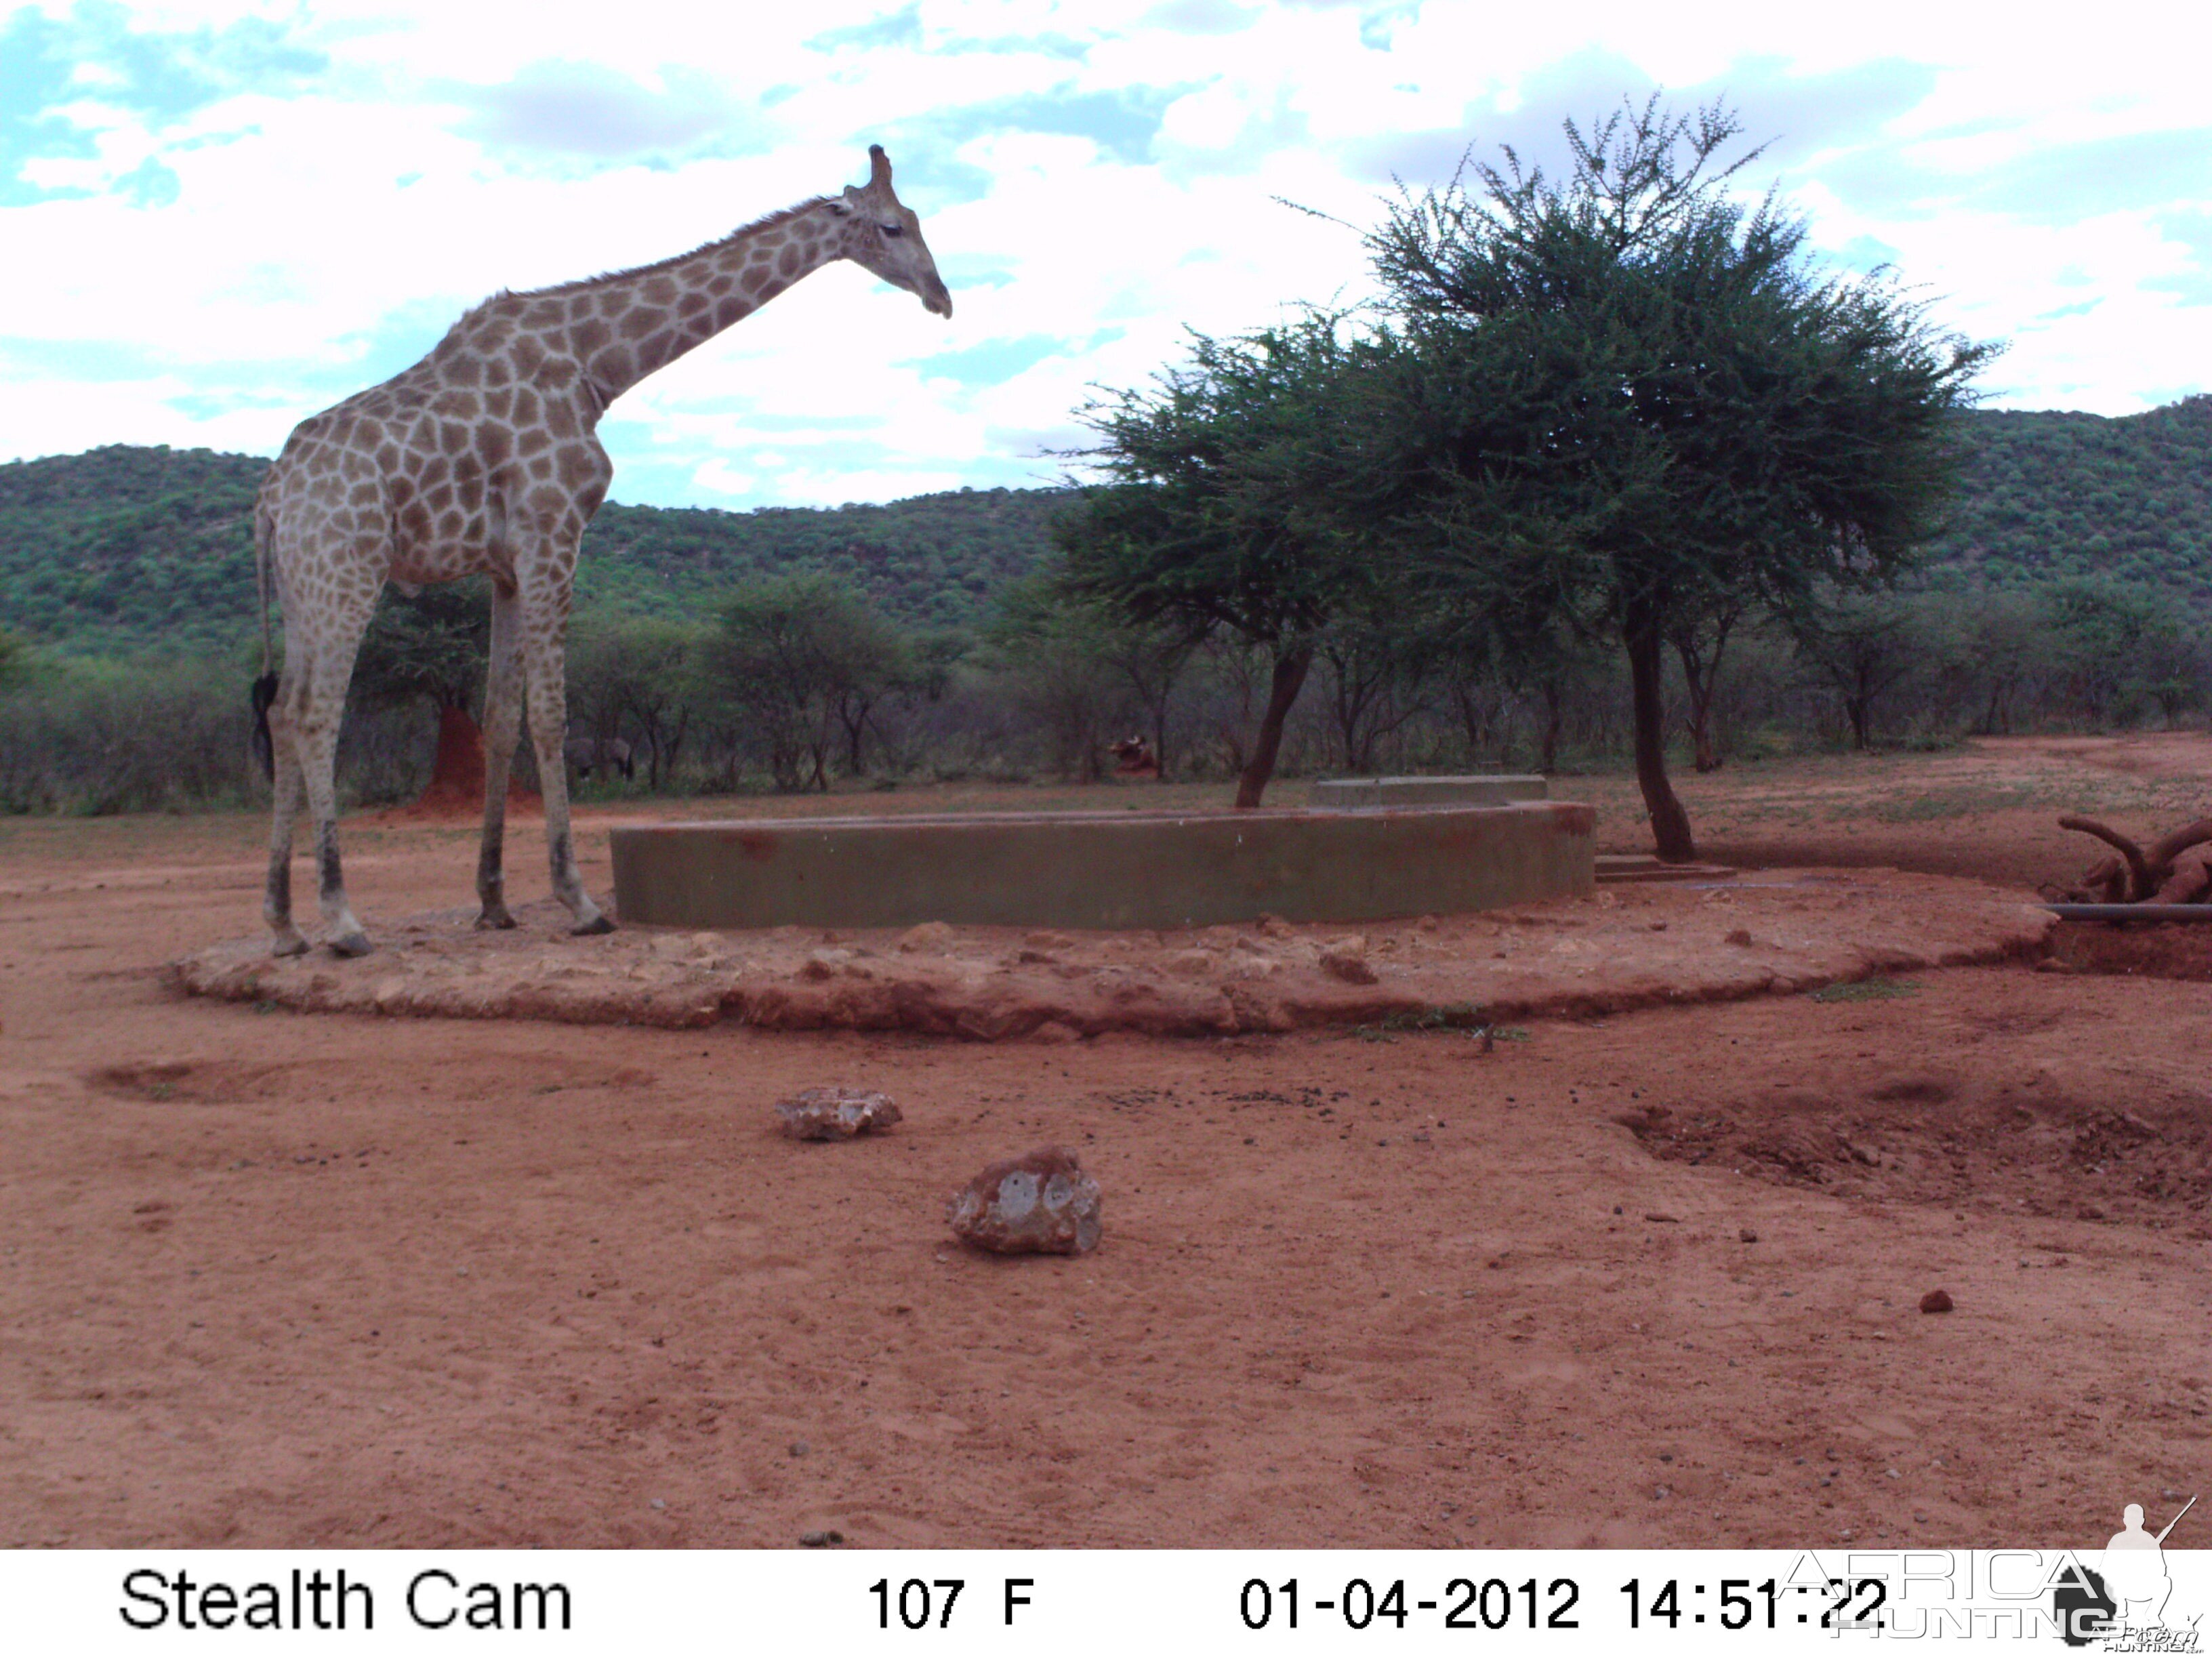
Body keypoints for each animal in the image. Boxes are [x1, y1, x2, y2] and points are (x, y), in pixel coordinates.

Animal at [251, 144, 951, 960]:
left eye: (916, 220)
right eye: (893, 226)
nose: (942, 296)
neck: (598, 364)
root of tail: (270, 500)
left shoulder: (505, 565)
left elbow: (500, 718)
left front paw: (494, 902)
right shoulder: (555, 530)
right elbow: (552, 714)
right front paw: (579, 900)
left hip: (303, 587)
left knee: (281, 712)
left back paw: (285, 924)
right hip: (348, 570)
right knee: (314, 713)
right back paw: (341, 919)